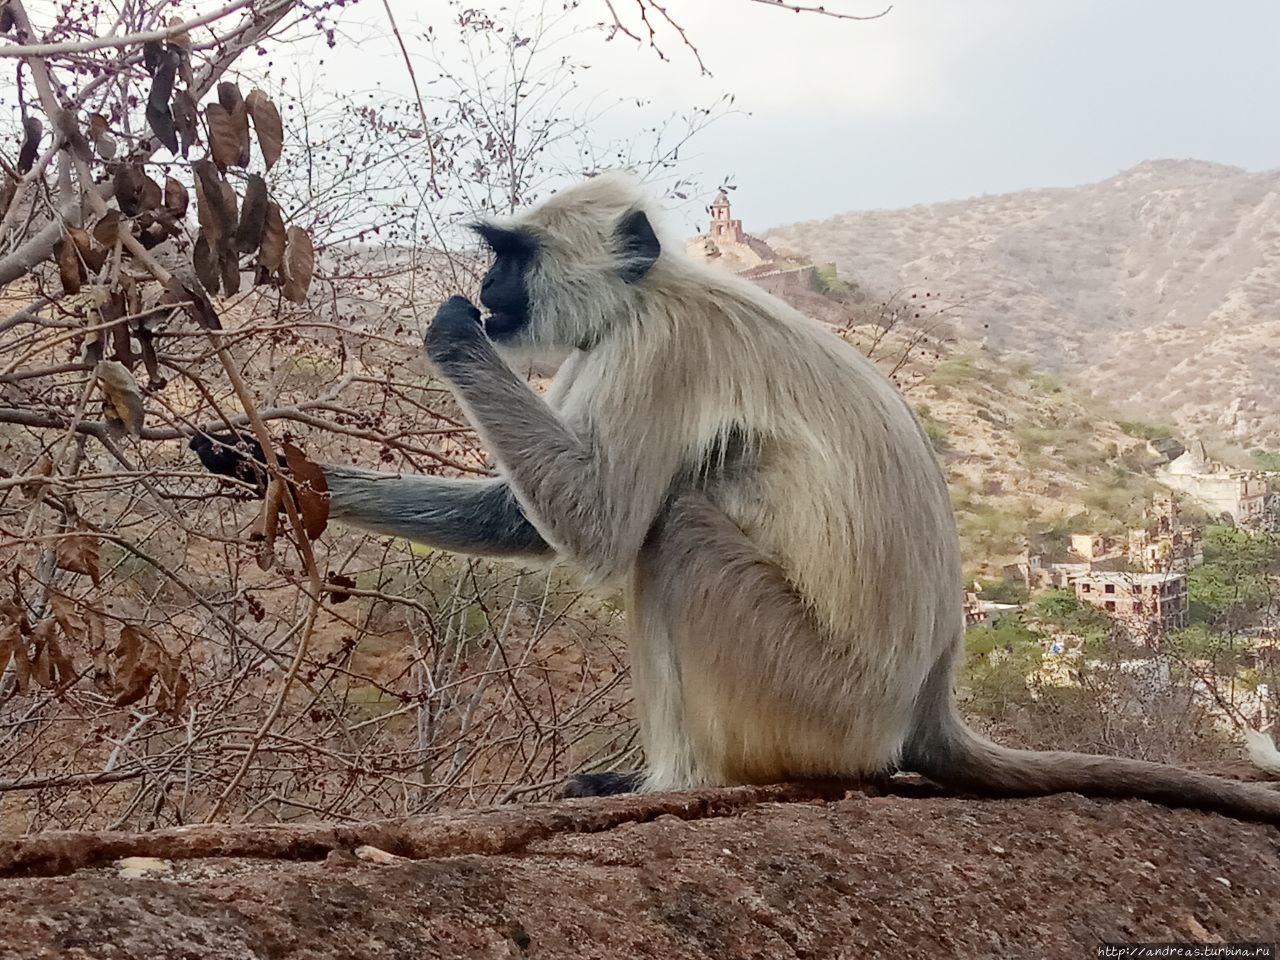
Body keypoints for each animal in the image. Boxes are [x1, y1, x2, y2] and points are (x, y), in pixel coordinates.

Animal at [299, 172, 1280, 829]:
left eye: (514, 256)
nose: (489, 290)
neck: (656, 290)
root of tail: (922, 704)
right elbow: (527, 520)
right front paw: (277, 470)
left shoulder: (654, 348)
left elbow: (601, 529)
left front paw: (451, 333)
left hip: (814, 697)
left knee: (677, 531)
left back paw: (676, 780)